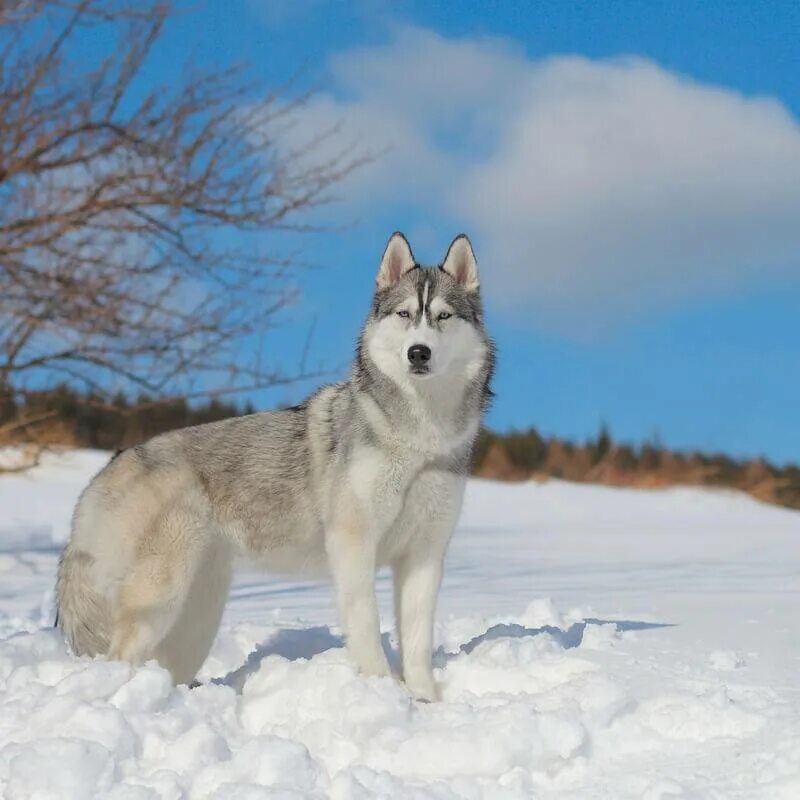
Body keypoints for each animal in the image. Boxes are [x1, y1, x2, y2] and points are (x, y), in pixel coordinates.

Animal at [56, 233, 490, 700]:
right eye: (405, 314)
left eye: (443, 316)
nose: (418, 353)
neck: (419, 437)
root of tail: (111, 466)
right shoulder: (353, 544)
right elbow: (367, 626)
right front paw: (380, 689)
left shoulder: (425, 553)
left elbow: (417, 641)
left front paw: (425, 700)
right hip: (159, 598)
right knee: (120, 657)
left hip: (198, 616)